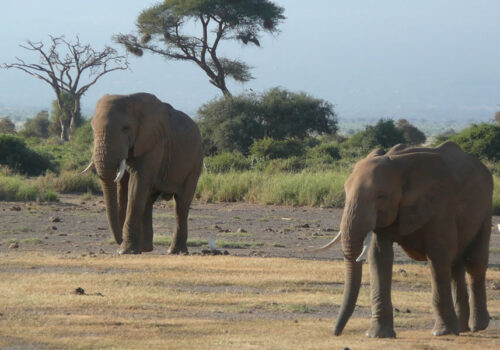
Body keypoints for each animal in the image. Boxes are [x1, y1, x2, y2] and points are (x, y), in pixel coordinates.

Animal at [81, 93, 202, 254]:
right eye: (92, 127)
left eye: (126, 128)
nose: (119, 240)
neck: (131, 99)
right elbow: (123, 186)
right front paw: (128, 249)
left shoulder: (154, 144)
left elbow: (137, 183)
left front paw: (124, 251)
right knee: (148, 200)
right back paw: (146, 248)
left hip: (195, 163)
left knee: (181, 205)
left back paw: (175, 252)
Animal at [316, 142, 492, 340]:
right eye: (345, 191)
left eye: (381, 196)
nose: (336, 333)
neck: (398, 164)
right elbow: (379, 256)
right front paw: (378, 335)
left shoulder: (440, 205)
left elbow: (438, 257)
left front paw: (442, 332)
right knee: (456, 264)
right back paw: (461, 329)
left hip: (485, 208)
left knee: (474, 261)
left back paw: (477, 326)